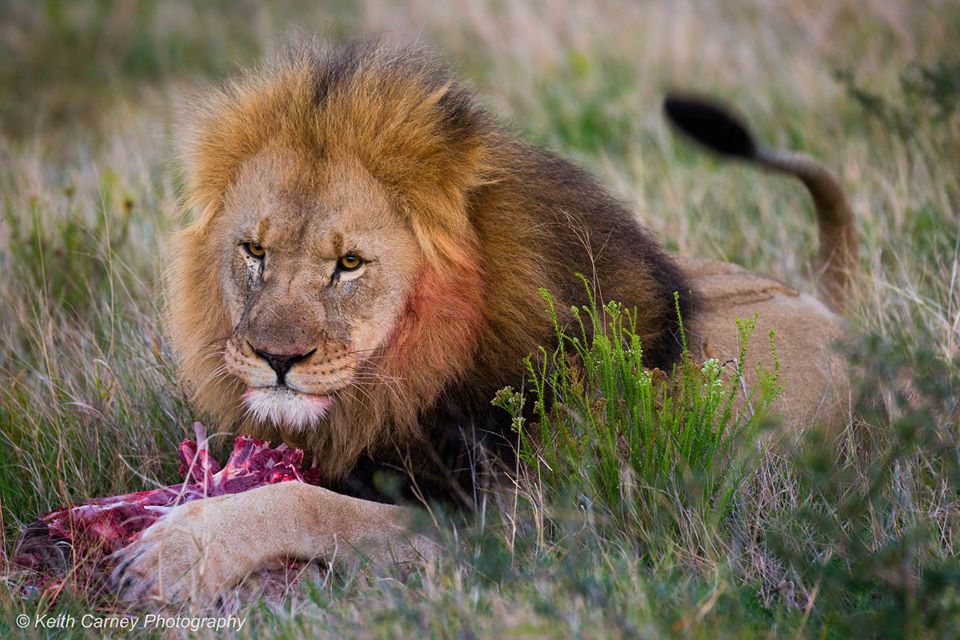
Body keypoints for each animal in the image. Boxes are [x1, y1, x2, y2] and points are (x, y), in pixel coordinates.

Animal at [110, 42, 856, 604]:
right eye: (254, 251)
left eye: (349, 263)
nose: (275, 359)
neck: (411, 377)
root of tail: (829, 307)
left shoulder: (512, 535)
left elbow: (310, 503)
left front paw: (175, 550)